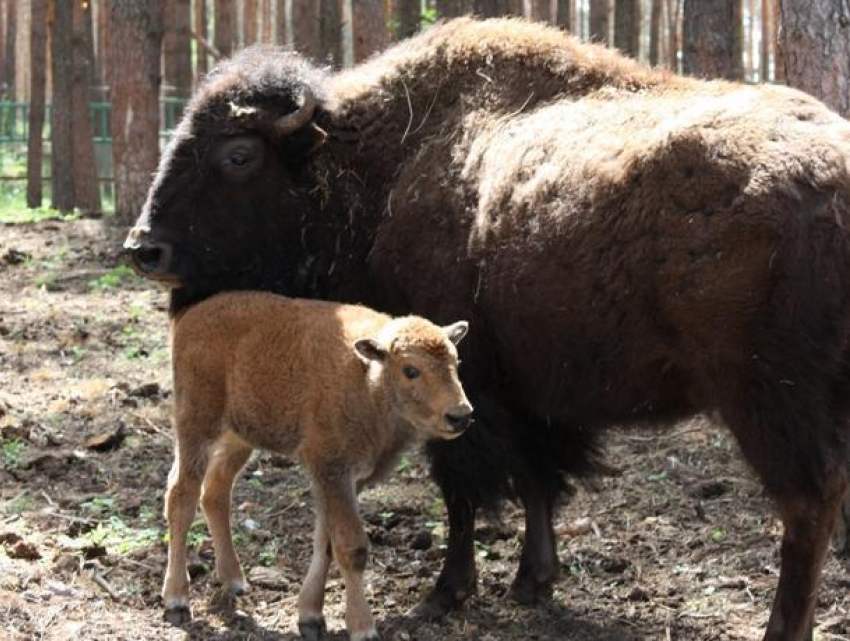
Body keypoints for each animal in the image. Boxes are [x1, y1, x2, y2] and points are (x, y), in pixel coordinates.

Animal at [159, 292, 470, 640]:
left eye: (456, 363)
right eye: (411, 370)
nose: (460, 415)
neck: (368, 378)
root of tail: (188, 317)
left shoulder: (342, 480)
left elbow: (326, 542)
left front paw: (311, 617)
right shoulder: (332, 470)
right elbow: (351, 547)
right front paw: (363, 627)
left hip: (239, 437)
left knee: (215, 491)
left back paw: (235, 581)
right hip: (196, 425)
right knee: (182, 495)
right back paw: (176, 600)